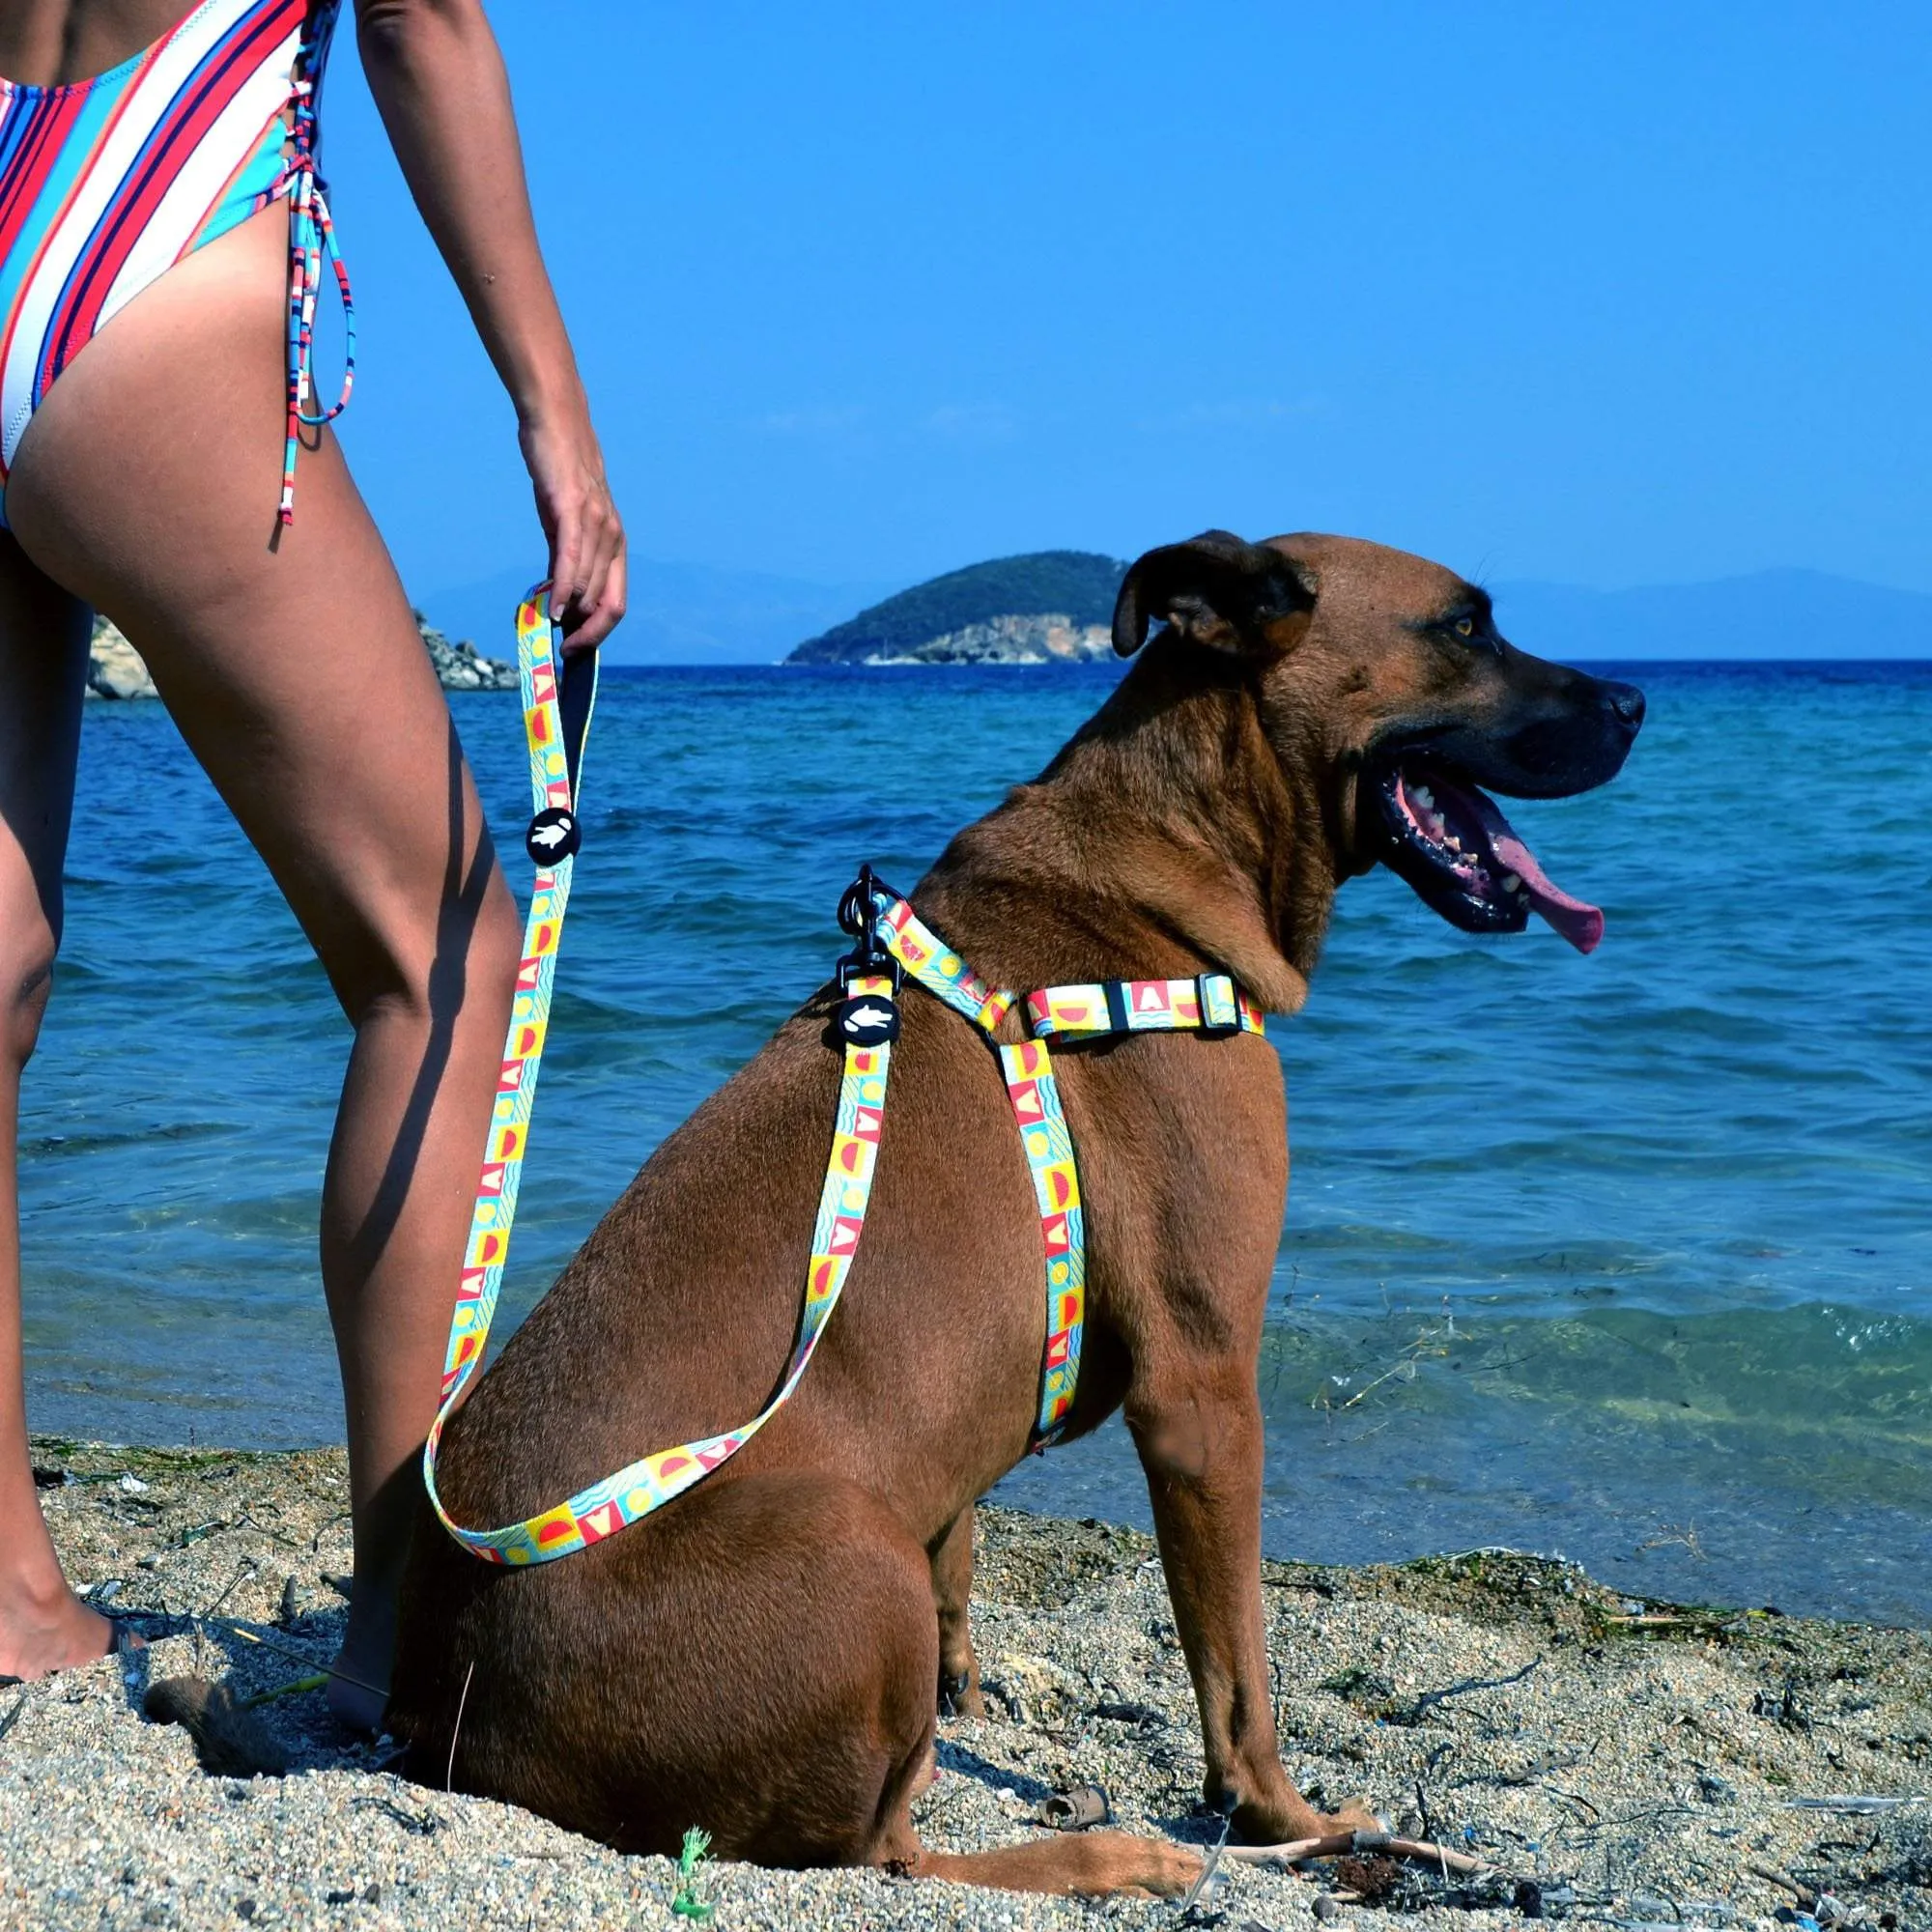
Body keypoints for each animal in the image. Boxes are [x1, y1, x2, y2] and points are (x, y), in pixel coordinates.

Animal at [388, 537, 1646, 1893]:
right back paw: (1116, 1854)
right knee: (891, 1855)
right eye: (1464, 627)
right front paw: (1281, 1816)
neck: (1161, 876)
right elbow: (1237, 1670)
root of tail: (463, 1713)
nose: (1636, 701)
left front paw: (972, 1694)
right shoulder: (1202, 1388)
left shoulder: (959, 1455)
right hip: (856, 1548)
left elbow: (965, 1561)